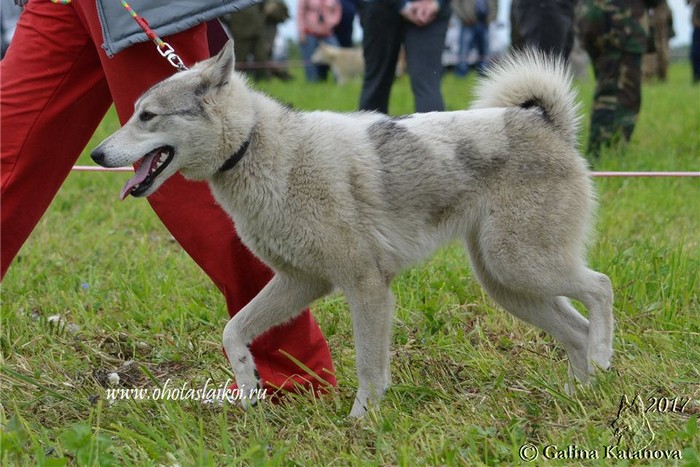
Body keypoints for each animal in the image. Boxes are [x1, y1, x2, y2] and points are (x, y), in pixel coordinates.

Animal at [91, 40, 614, 417]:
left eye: (147, 116)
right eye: (133, 111)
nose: (96, 154)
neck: (259, 146)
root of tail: (543, 122)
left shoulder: (366, 286)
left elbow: (369, 368)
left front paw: (361, 423)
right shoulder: (300, 282)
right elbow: (233, 330)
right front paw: (247, 384)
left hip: (520, 264)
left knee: (600, 288)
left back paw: (603, 356)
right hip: (508, 283)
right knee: (575, 330)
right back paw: (579, 396)